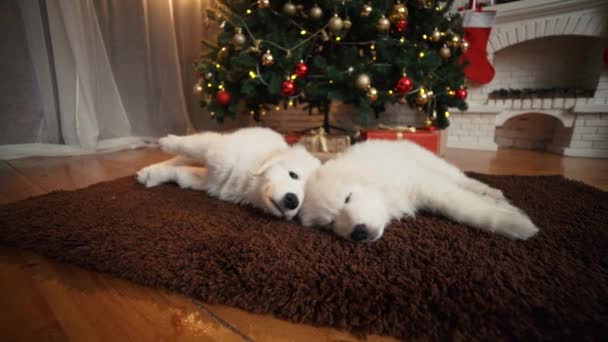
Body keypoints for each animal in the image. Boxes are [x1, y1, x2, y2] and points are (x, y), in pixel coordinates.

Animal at [137, 127, 318, 219]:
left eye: (305, 200)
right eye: (293, 175)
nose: (293, 201)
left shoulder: (210, 180)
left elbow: (180, 174)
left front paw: (157, 175)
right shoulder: (218, 150)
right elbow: (191, 145)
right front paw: (167, 142)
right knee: (182, 155)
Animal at [296, 140, 540, 242]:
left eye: (348, 198)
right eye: (329, 224)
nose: (358, 233)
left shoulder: (425, 184)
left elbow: (463, 208)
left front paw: (516, 224)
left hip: (433, 163)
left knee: (462, 179)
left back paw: (491, 191)